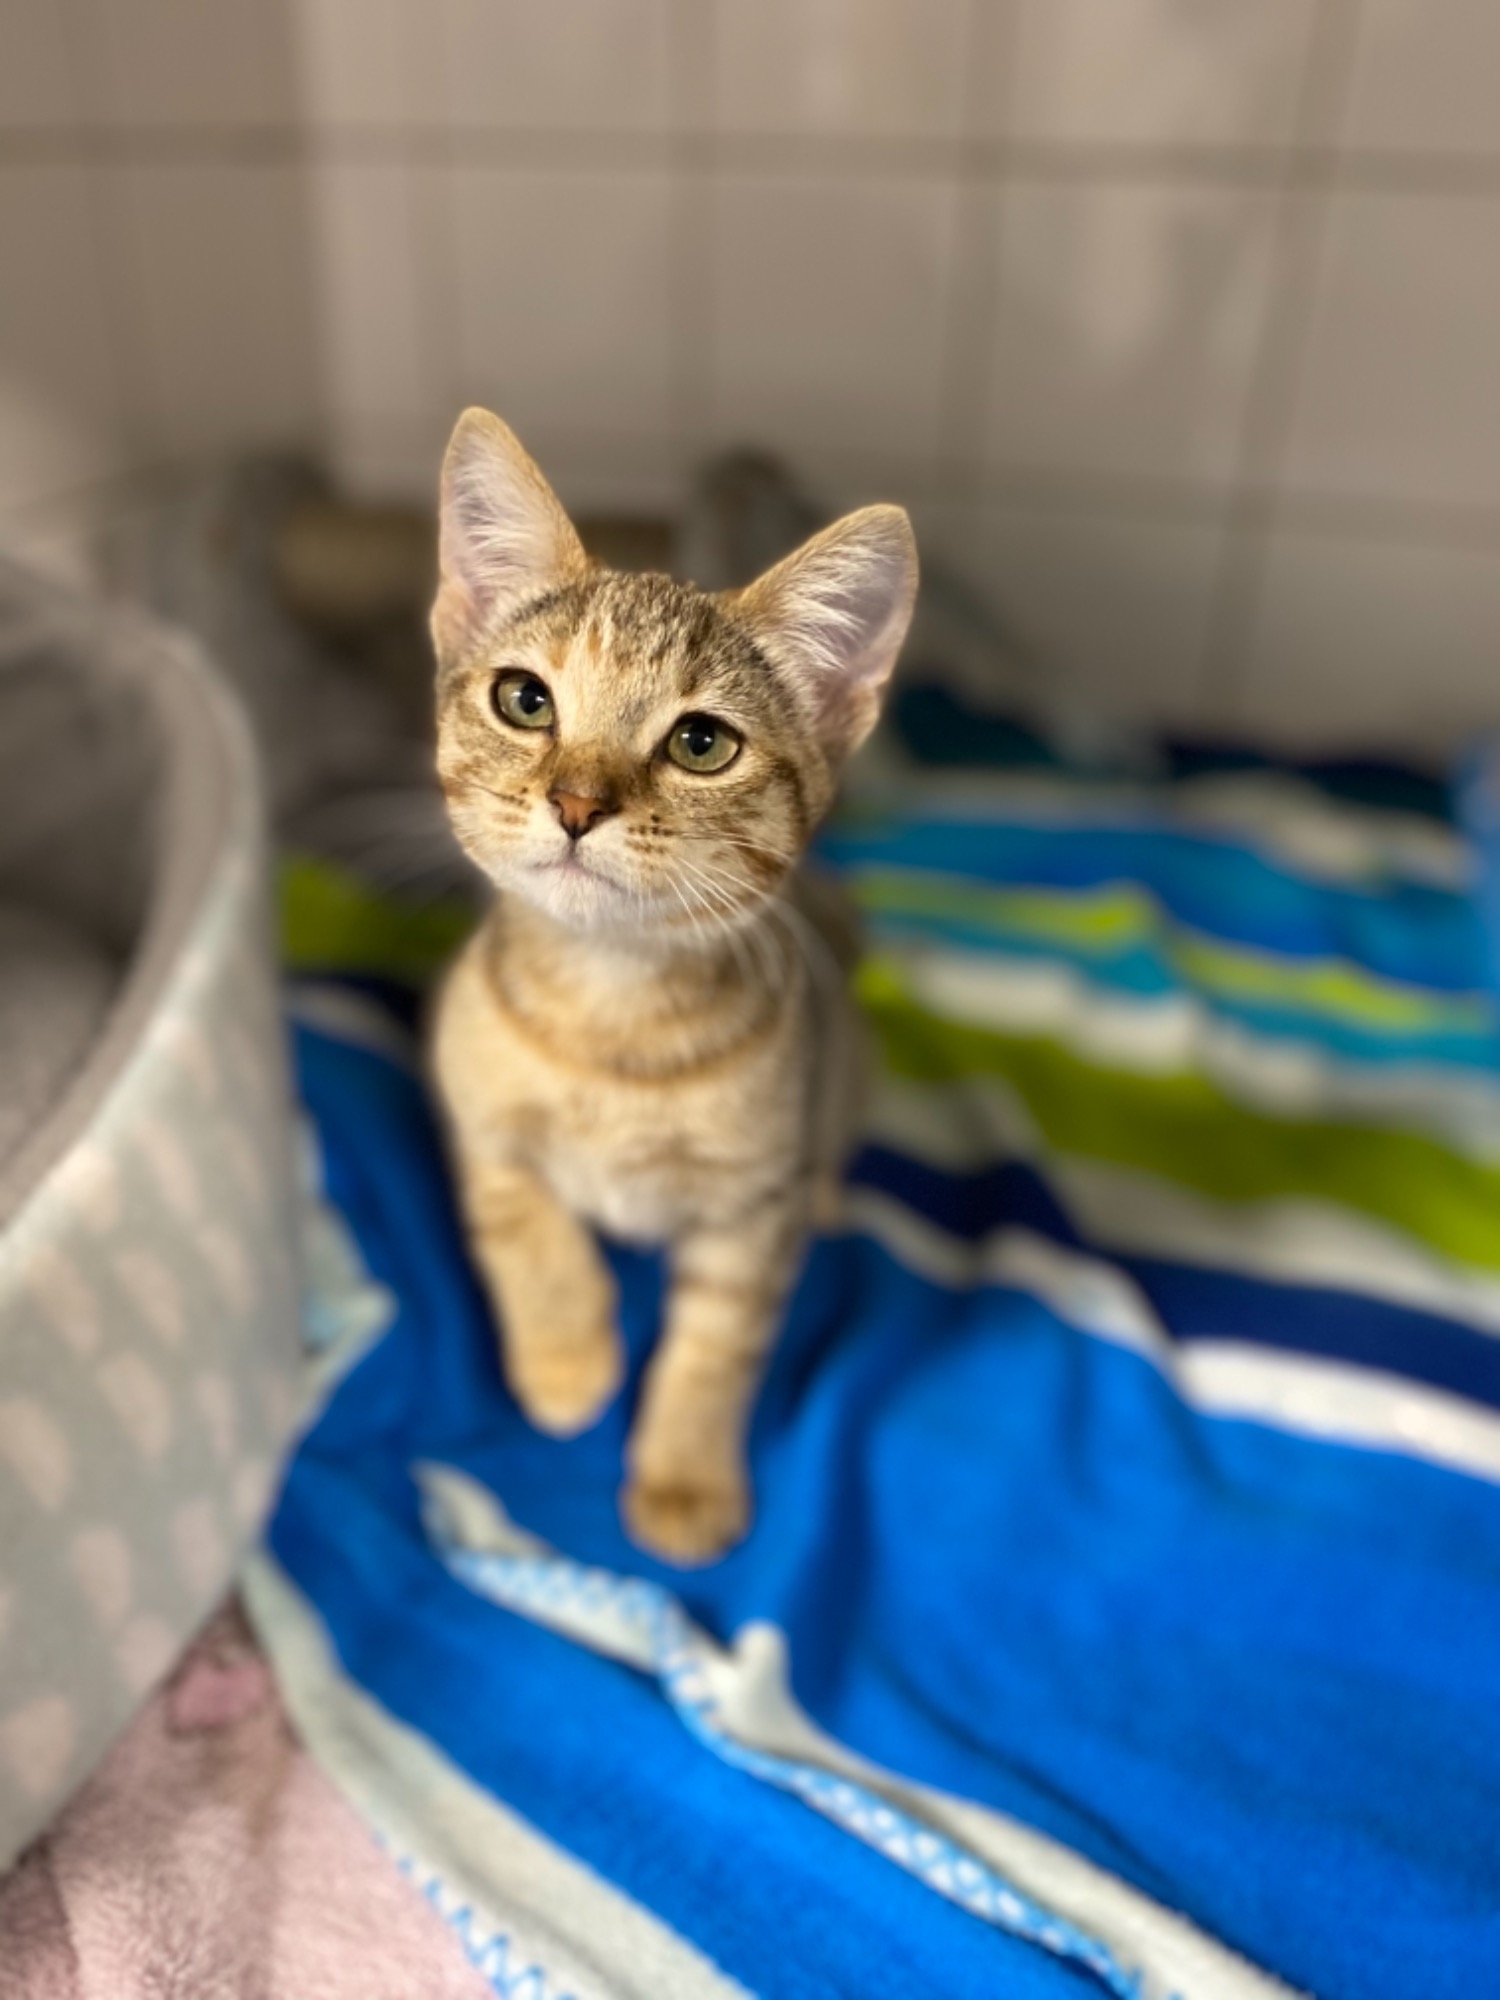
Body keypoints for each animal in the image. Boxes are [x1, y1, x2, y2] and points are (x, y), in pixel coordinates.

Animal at [428, 408, 917, 1563]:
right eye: (525, 699)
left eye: (701, 743)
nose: (575, 802)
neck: (610, 1012)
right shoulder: (473, 1113)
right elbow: (524, 1224)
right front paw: (567, 1359)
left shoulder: (746, 1214)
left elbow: (715, 1349)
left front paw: (686, 1478)